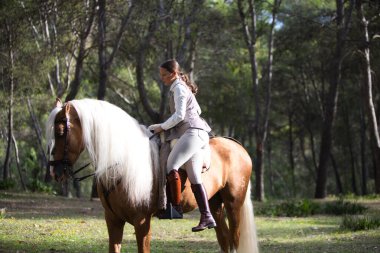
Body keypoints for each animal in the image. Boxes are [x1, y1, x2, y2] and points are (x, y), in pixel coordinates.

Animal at [44, 99, 258, 253]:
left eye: (61, 132)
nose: (55, 171)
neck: (123, 163)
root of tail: (236, 145)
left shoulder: (142, 222)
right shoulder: (112, 220)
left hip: (233, 204)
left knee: (235, 239)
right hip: (215, 204)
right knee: (224, 239)